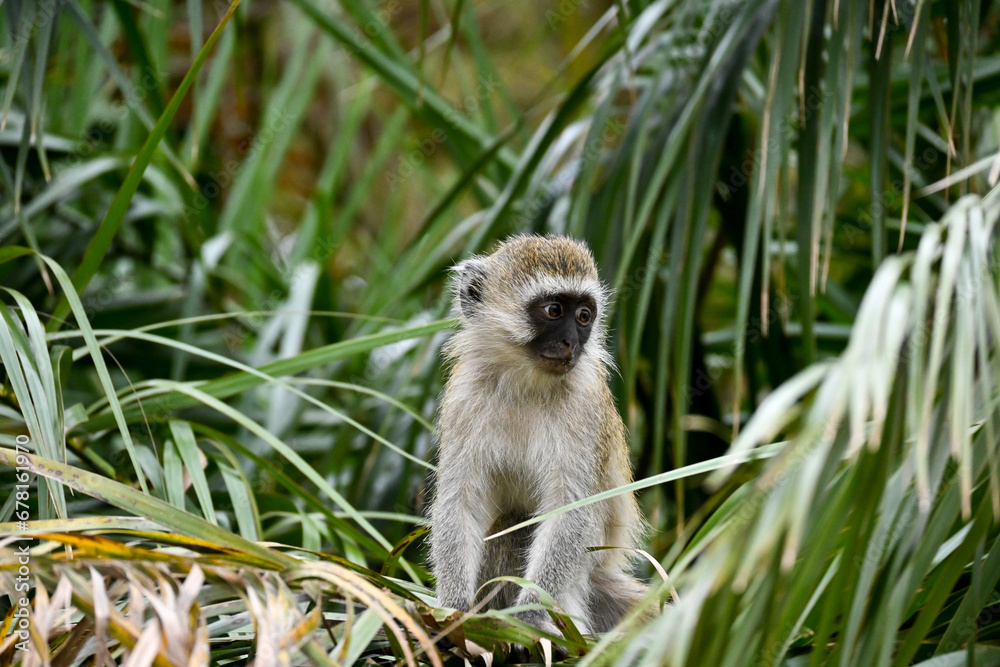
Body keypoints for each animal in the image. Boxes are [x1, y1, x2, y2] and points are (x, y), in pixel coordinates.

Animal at [428, 234, 647, 646]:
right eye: (553, 310)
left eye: (584, 316)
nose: (571, 342)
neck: (524, 383)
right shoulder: (464, 396)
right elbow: (459, 500)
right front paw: (455, 610)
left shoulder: (584, 405)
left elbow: (572, 510)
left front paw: (529, 616)